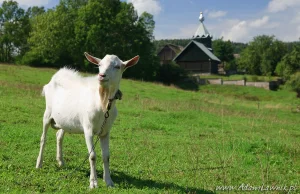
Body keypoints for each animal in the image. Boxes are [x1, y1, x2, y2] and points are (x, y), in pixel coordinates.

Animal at [36, 52, 139, 188]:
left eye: (117, 66)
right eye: (99, 65)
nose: (101, 76)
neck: (102, 102)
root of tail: (56, 77)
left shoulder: (105, 132)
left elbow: (106, 156)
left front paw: (109, 181)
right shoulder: (88, 129)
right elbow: (92, 156)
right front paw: (93, 182)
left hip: (65, 120)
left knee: (59, 136)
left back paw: (61, 162)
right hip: (47, 114)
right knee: (43, 138)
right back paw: (39, 164)